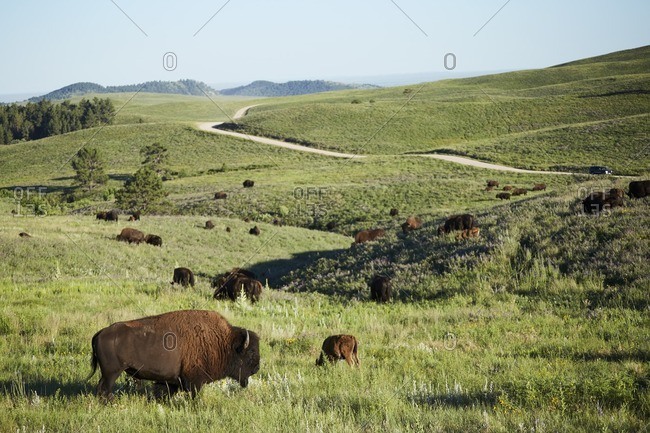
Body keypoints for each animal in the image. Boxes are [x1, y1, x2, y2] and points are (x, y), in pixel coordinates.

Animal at [89, 310, 260, 398]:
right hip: (112, 373)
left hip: (108, 373)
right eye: (251, 352)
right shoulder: (194, 381)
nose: (257, 368)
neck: (223, 343)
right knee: (104, 388)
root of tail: (100, 333)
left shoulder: (171, 381)